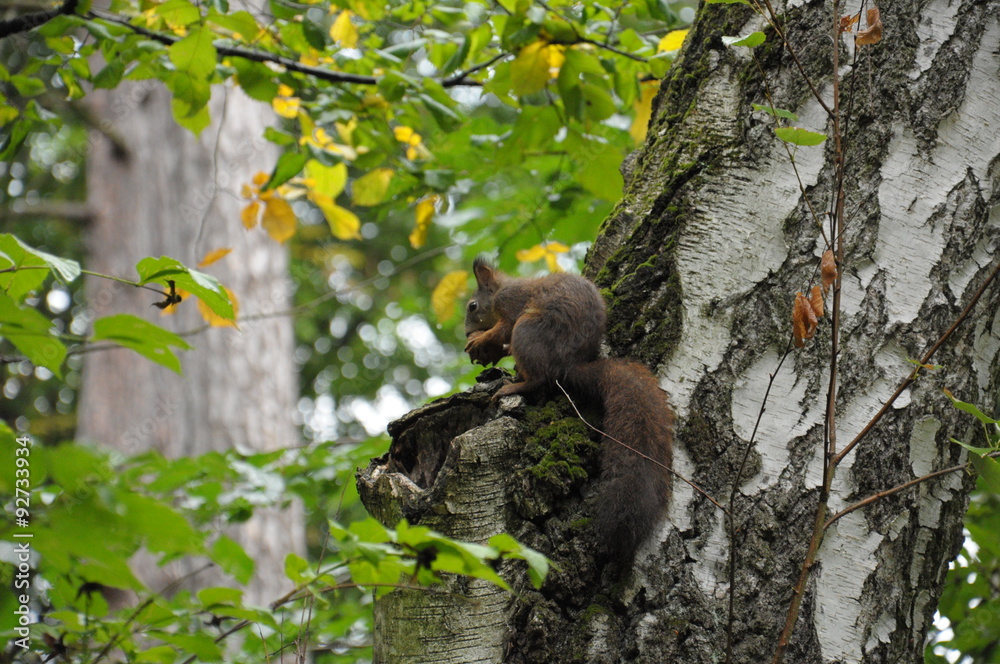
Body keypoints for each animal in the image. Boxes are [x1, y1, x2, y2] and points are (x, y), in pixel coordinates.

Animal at [463, 256, 674, 560]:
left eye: (472, 306)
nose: (467, 333)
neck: (502, 289)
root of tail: (568, 366)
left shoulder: (512, 304)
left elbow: (503, 328)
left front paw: (482, 340)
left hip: (528, 330)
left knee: (539, 378)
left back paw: (514, 386)